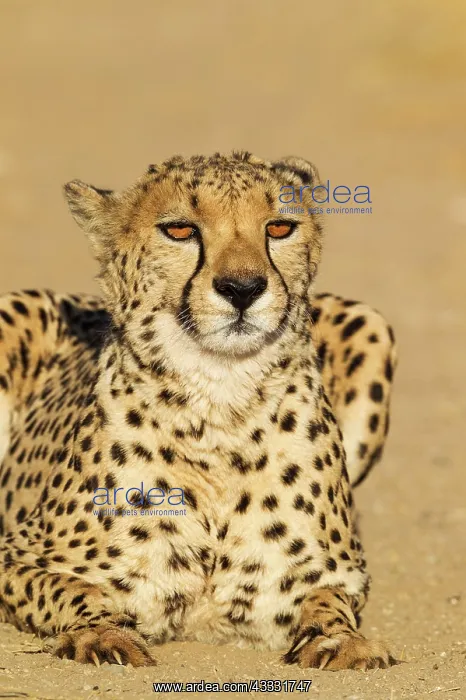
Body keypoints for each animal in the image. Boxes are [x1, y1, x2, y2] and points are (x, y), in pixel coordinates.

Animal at [0, 152, 397, 671]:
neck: (221, 403)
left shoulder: (335, 572)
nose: (242, 288)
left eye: (280, 227)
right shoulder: (19, 555)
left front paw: (338, 640)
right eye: (181, 230)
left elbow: (329, 600)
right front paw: (103, 633)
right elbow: (77, 590)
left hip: (371, 323)